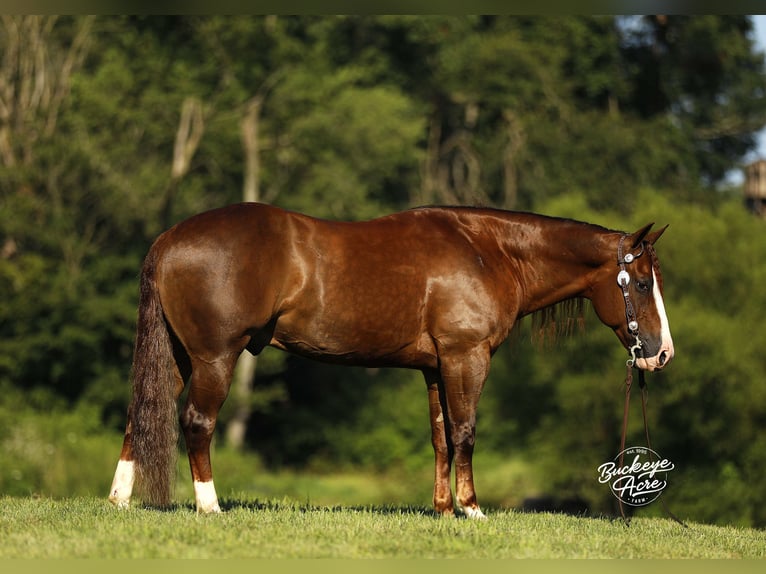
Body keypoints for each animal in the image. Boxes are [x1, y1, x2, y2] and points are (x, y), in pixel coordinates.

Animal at [108, 203, 673, 517]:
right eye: (643, 283)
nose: (662, 353)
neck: (489, 251)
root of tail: (170, 239)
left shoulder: (435, 367)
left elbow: (442, 436)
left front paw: (443, 510)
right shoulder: (466, 357)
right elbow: (466, 431)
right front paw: (472, 510)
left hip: (178, 358)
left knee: (139, 415)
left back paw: (118, 500)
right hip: (213, 359)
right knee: (196, 422)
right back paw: (210, 506)